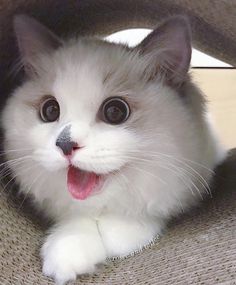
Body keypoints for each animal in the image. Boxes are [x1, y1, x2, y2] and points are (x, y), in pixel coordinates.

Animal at [2, 15, 226, 284]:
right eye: (50, 111)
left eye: (115, 111)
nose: (65, 144)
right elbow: (76, 221)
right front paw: (67, 256)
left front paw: (117, 237)